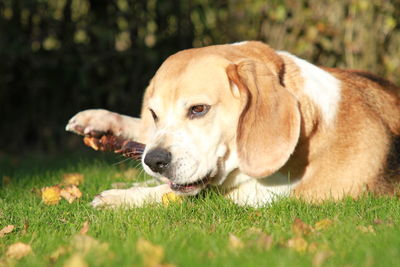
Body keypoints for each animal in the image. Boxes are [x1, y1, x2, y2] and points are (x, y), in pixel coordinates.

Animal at [65, 41, 400, 209]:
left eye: (198, 109)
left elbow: (174, 193)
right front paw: (101, 122)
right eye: (155, 114)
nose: (154, 161)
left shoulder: (266, 197)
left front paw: (120, 198)